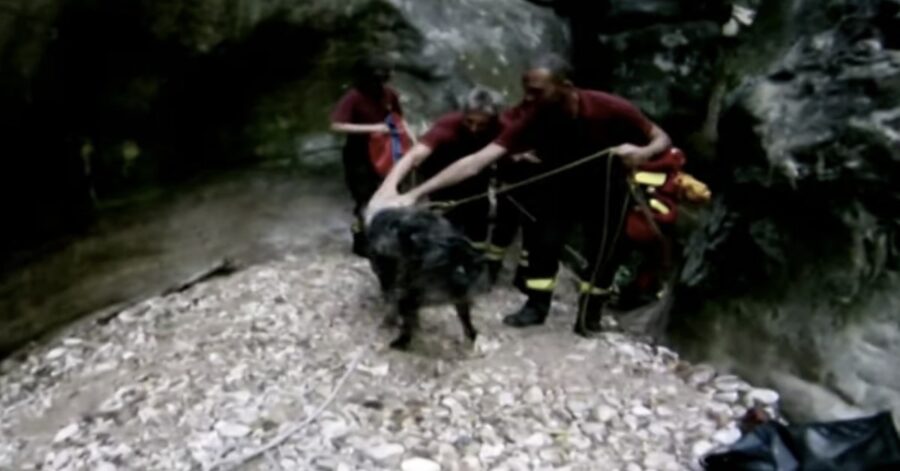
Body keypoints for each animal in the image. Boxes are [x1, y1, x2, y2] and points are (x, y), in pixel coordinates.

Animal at [364, 208, 488, 348]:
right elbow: (406, 321)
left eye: (473, 271)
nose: (472, 287)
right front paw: (401, 342)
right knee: (389, 296)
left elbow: (465, 317)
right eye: (459, 270)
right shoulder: (407, 293)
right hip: (386, 275)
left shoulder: (460, 299)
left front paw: (473, 335)